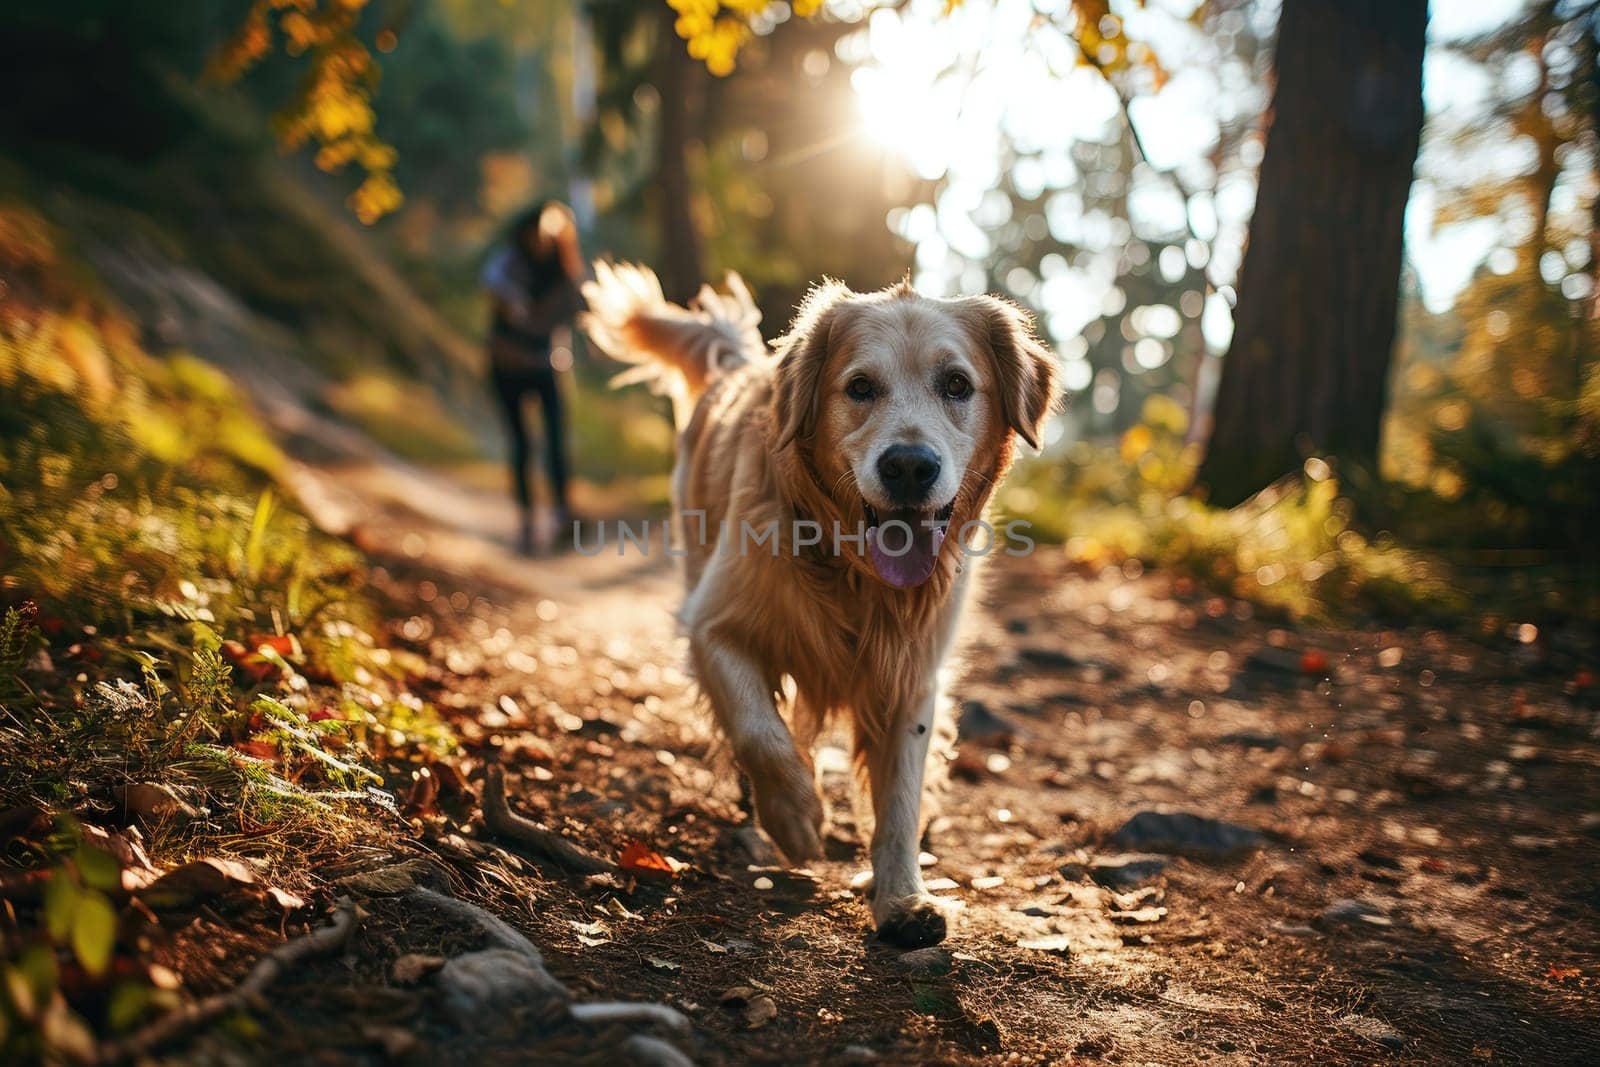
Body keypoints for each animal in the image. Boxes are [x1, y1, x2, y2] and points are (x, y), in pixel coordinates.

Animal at [582, 262, 1056, 947]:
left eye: (957, 384)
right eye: (859, 387)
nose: (908, 466)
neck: (852, 571)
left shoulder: (912, 670)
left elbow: (900, 793)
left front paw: (903, 898)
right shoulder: (711, 625)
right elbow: (760, 732)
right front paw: (797, 818)